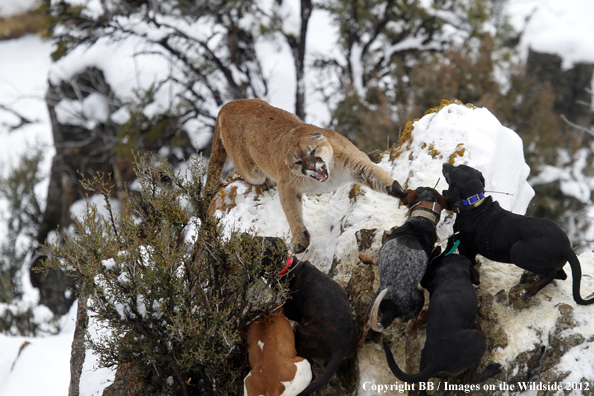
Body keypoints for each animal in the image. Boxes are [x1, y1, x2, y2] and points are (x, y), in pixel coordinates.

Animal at [206, 99, 404, 254]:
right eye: (298, 162)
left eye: (312, 151)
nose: (311, 166)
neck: (331, 175)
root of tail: (229, 103)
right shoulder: (286, 186)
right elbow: (292, 213)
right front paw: (300, 240)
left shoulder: (358, 165)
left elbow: (378, 177)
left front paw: (402, 192)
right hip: (251, 171)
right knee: (250, 176)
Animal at [364, 186, 446, 334]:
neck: (422, 219)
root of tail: (391, 309)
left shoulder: (379, 254)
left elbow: (371, 258)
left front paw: (362, 258)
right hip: (417, 298)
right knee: (411, 328)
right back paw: (422, 318)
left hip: (373, 309)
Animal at [380, 252, 500, 392]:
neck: (449, 265)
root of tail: (434, 363)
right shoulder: (472, 274)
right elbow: (477, 275)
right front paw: (478, 264)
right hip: (478, 339)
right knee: (470, 379)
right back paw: (492, 370)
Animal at [440, 162, 592, 304]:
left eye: (453, 170)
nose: (445, 164)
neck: (474, 205)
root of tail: (566, 247)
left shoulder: (465, 247)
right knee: (561, 275)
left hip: (518, 251)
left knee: (550, 274)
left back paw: (529, 292)